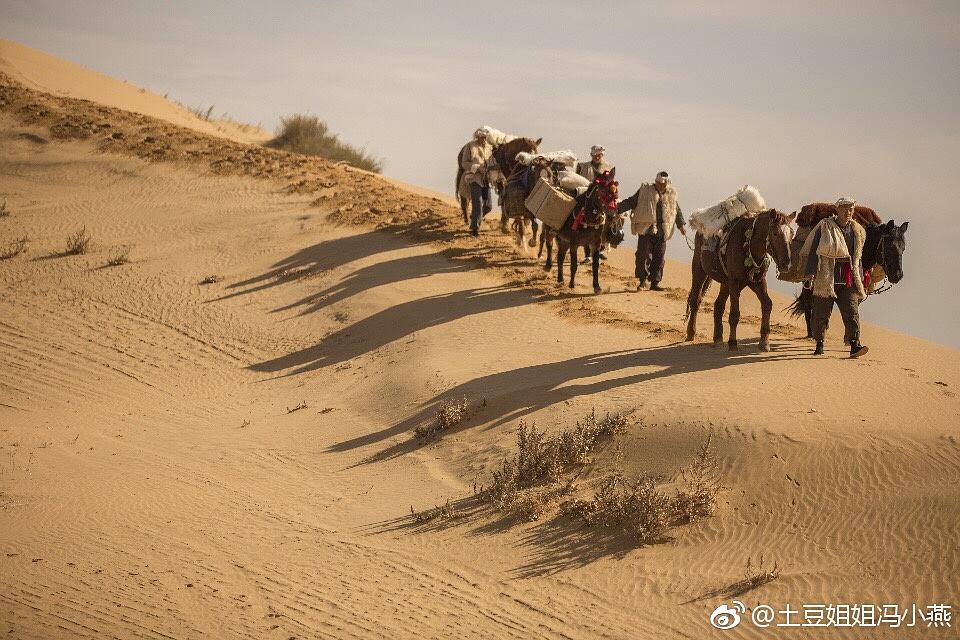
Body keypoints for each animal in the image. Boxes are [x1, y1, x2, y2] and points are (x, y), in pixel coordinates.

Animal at [688, 209, 800, 350]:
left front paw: (764, 341)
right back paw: (691, 333)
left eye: (792, 234)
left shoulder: (757, 281)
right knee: (695, 300)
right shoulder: (735, 282)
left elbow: (767, 304)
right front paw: (732, 342)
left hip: (726, 283)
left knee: (718, 305)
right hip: (699, 269)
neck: (749, 243)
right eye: (775, 233)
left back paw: (718, 338)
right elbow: (735, 313)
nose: (787, 264)